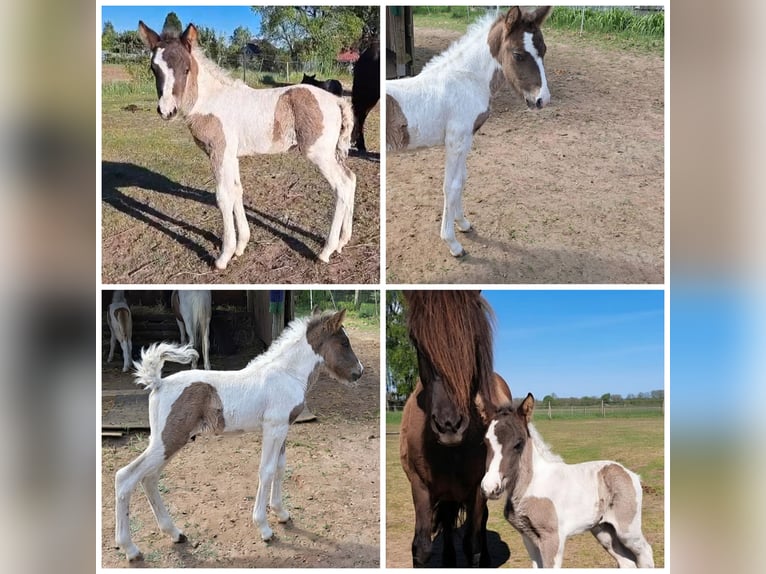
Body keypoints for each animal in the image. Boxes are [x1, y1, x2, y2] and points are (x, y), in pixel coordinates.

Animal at [114, 309, 364, 562]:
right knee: (125, 477)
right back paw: (130, 549)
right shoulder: (273, 428)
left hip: (168, 442)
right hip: (167, 440)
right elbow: (267, 470)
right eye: (344, 342)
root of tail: (159, 383)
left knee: (149, 479)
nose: (359, 372)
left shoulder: (283, 428)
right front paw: (264, 528)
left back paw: (175, 533)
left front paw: (281, 513)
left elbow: (280, 467)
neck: (287, 374)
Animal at [137, 21, 357, 269]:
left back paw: (326, 250)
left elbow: (223, 197)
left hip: (319, 154)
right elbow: (236, 191)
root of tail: (337, 101)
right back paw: (343, 241)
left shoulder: (218, 153)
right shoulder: (230, 156)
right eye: (154, 69)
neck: (209, 101)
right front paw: (241, 246)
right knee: (351, 179)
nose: (167, 111)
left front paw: (224, 256)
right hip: (331, 154)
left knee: (342, 186)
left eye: (186, 68)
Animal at [386, 7, 552, 257]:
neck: (465, 80)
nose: (542, 99)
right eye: (517, 54)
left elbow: (462, 180)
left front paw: (463, 223)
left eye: (543, 50)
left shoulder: (466, 140)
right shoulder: (455, 141)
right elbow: (451, 186)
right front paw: (453, 243)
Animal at [400, 291, 512, 567]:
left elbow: (472, 544)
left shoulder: (477, 491)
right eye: (416, 341)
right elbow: (421, 547)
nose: (449, 425)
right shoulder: (419, 486)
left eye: (474, 337)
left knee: (479, 525)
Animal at [481, 393, 655, 568]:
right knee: (627, 562)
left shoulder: (552, 538)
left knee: (646, 552)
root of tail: (630, 474)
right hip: (603, 530)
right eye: (485, 442)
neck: (533, 485)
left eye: (518, 443)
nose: (490, 487)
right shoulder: (528, 538)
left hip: (627, 530)